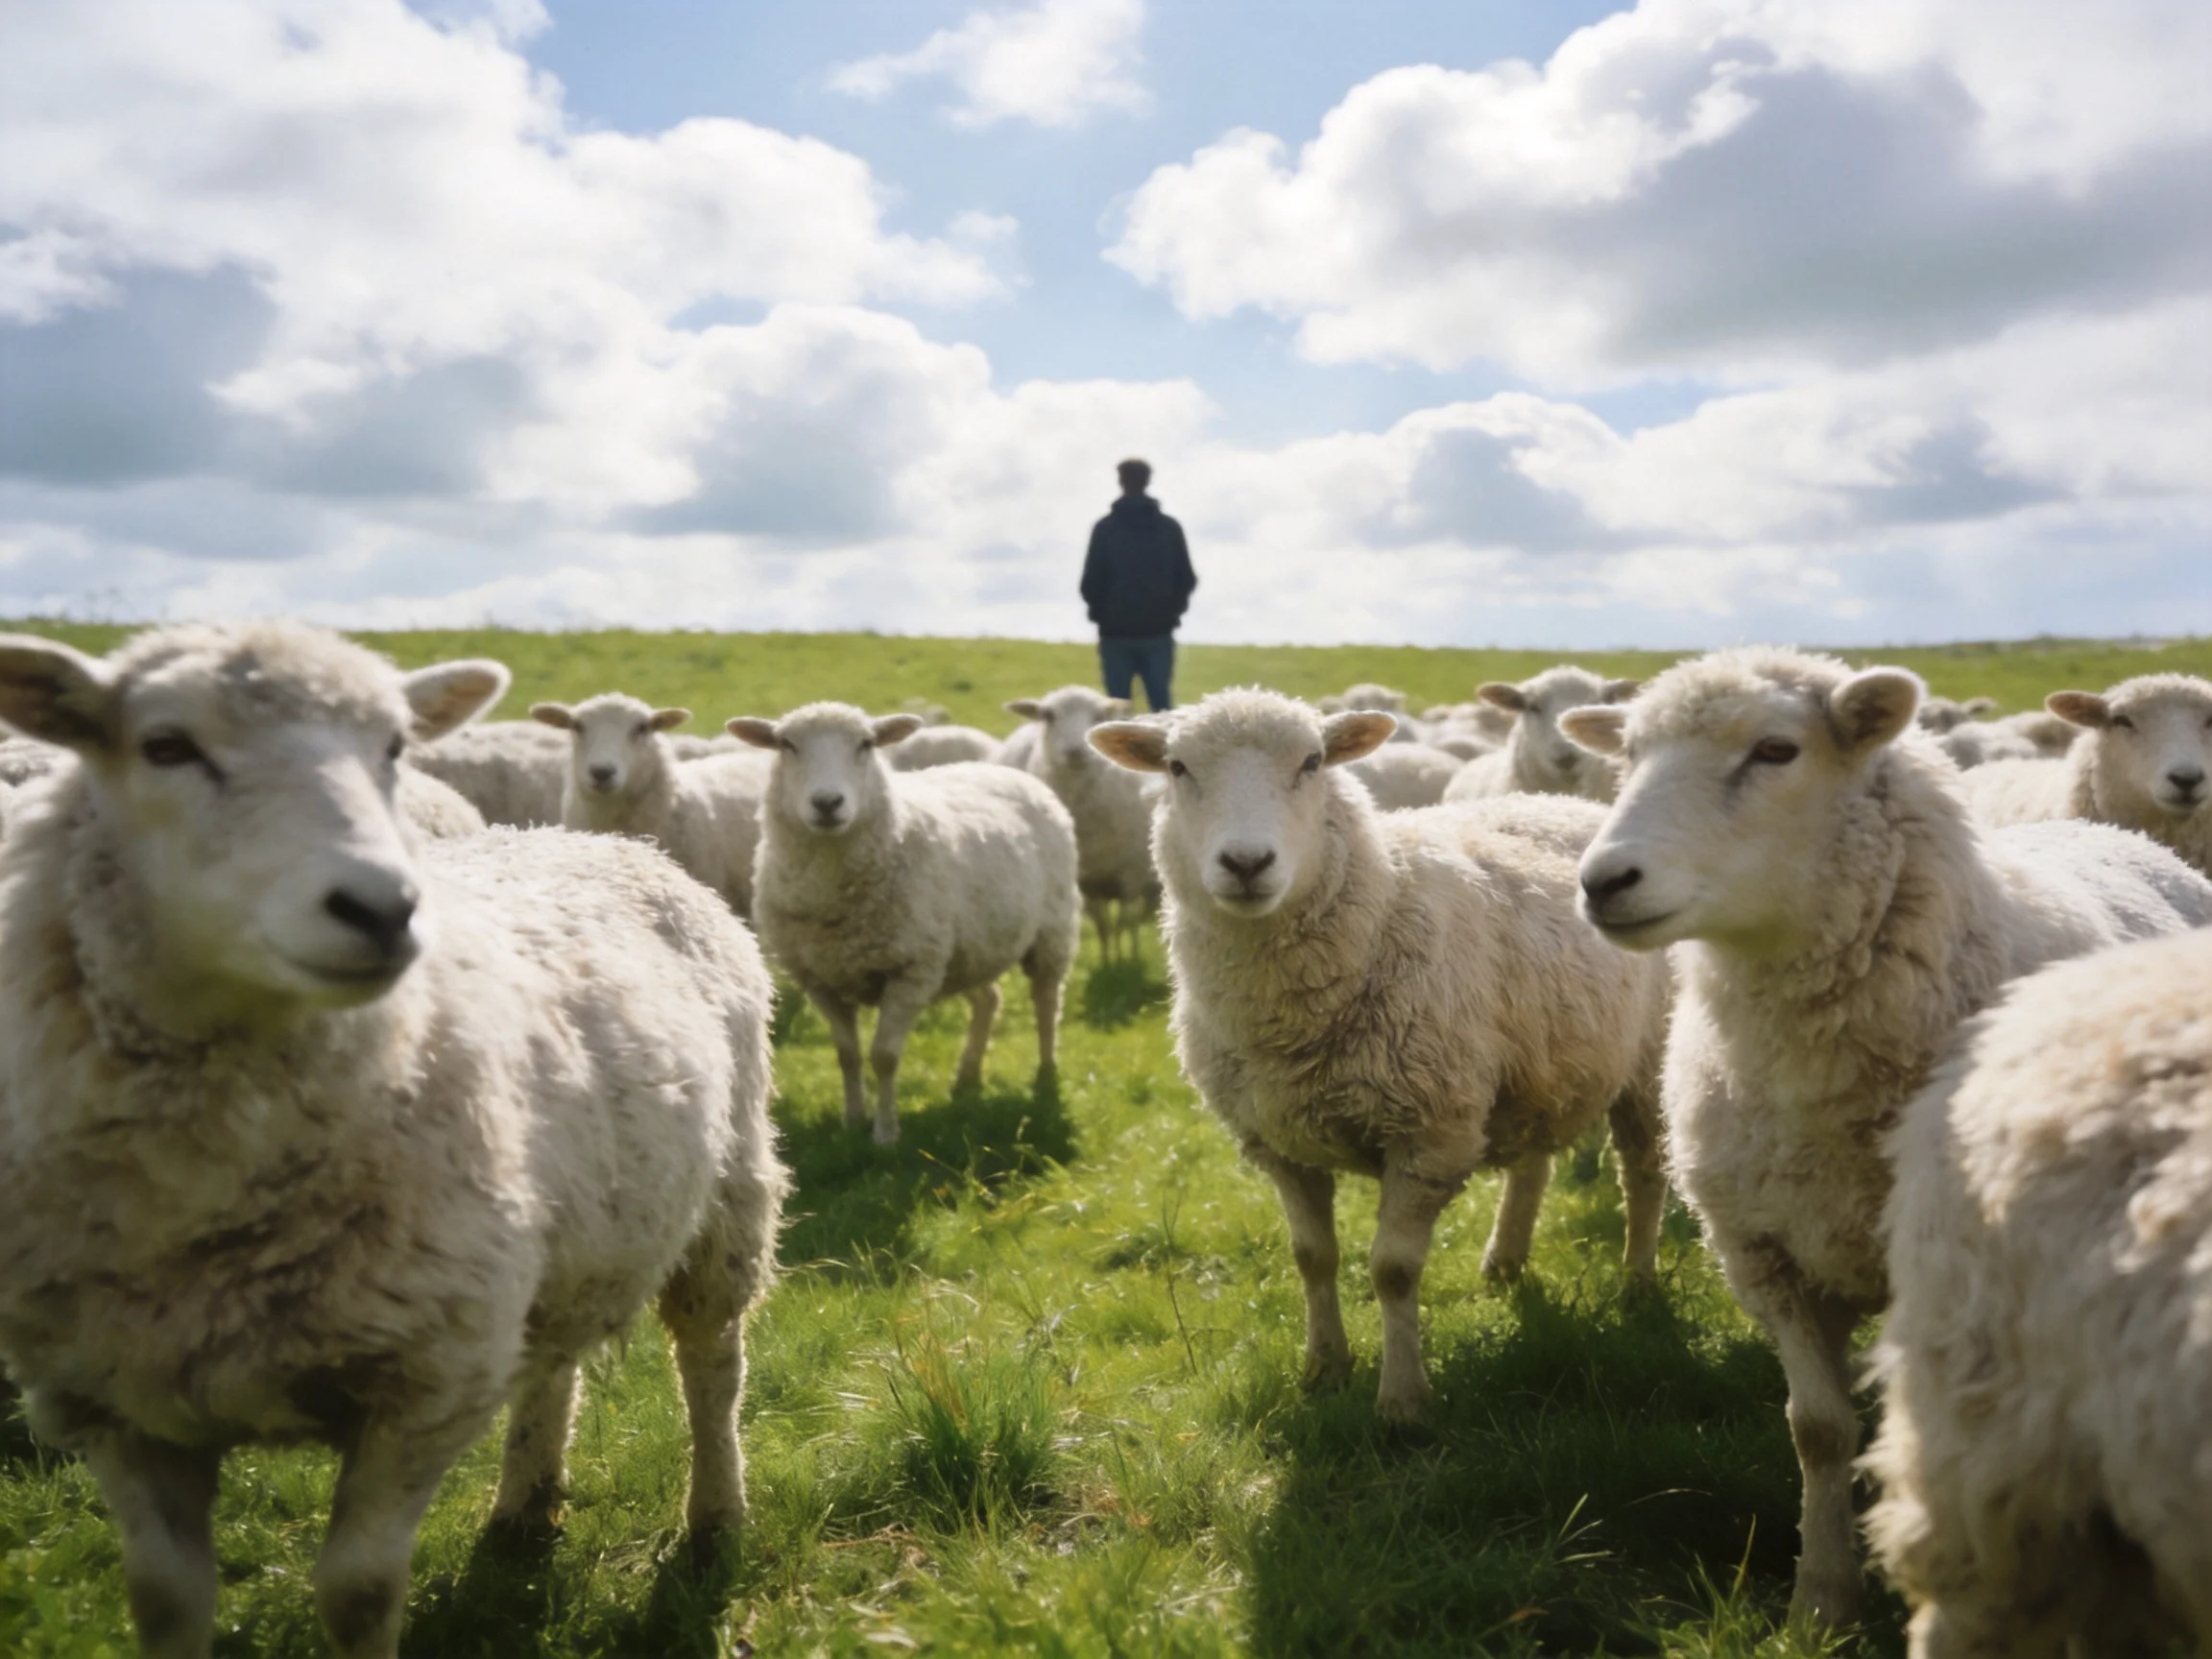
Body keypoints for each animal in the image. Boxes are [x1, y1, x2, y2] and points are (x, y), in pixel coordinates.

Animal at [729, 703, 1080, 1145]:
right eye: (786, 745)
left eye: (866, 744)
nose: (827, 802)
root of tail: (1006, 771)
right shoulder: (818, 979)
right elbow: (847, 1055)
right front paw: (852, 1121)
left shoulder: (909, 971)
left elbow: (884, 1056)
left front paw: (885, 1134)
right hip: (970, 947)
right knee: (989, 1000)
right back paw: (967, 1076)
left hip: (1051, 933)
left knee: (1047, 1004)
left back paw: (1046, 1074)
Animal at [1003, 686, 1158, 959]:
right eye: (1048, 715)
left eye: (1098, 716)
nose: (1075, 751)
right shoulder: (1086, 883)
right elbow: (1104, 927)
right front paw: (1108, 959)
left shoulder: (1133, 874)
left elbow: (1126, 924)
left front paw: (1128, 957)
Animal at [1090, 690, 1672, 1422]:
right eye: (1176, 767)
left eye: (1313, 762)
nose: (1247, 864)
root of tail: (1562, 803)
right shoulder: (1278, 1142)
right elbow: (1312, 1256)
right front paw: (1324, 1368)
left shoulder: (1429, 1134)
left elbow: (1392, 1271)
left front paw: (1402, 1401)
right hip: (1533, 1062)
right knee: (1532, 1165)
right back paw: (1506, 1262)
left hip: (1648, 1060)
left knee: (1643, 1174)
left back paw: (1638, 1285)